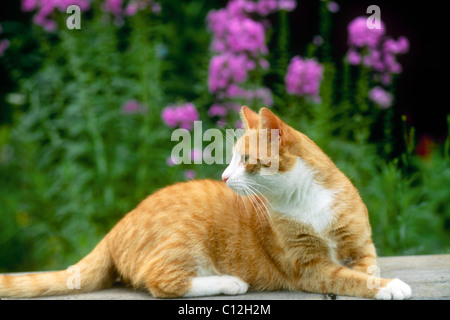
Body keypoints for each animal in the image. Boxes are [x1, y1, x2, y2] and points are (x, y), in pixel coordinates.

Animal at [0, 106, 412, 298]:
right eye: (230, 160)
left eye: (244, 160)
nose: (225, 177)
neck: (305, 199)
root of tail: (115, 228)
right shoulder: (309, 268)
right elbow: (351, 279)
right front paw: (389, 286)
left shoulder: (360, 247)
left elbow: (365, 270)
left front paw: (380, 279)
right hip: (183, 239)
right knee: (161, 280)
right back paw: (229, 282)